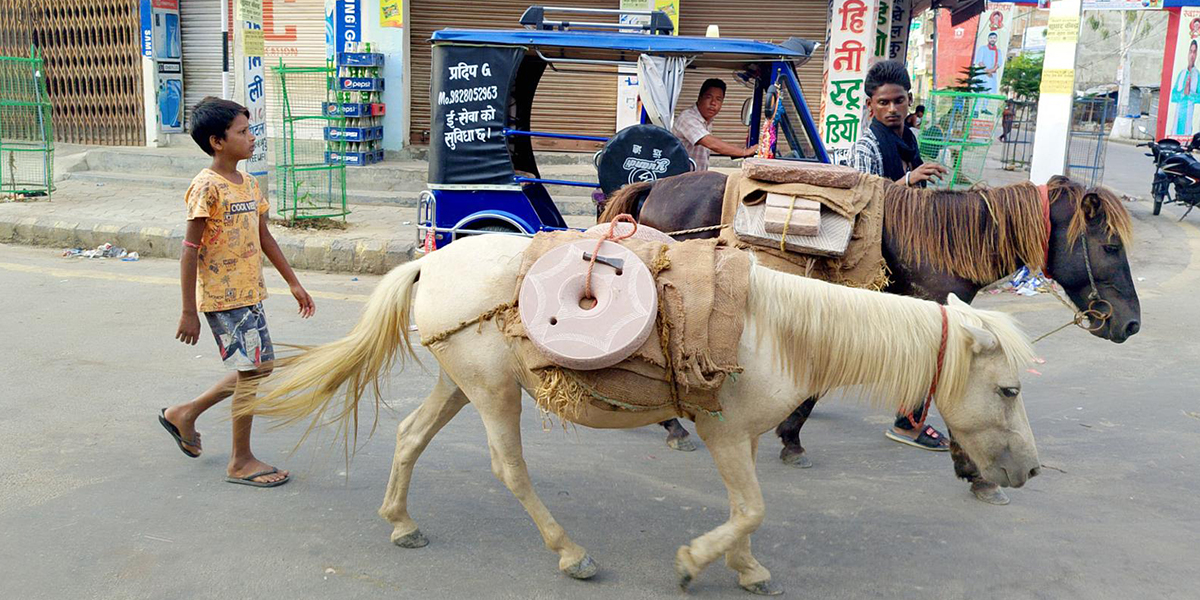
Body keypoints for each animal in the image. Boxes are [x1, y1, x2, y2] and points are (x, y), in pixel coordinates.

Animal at [253, 234, 1041, 595]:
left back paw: (401, 522)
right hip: (492, 392)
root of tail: (432, 261)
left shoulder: (739, 437)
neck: (782, 328)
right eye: (1009, 391)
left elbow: (748, 510)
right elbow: (750, 508)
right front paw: (697, 564)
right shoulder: (724, 430)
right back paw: (570, 553)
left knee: (411, 437)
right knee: (510, 469)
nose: (1029, 472)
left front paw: (745, 569)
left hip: (460, 384)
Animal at [604, 171, 1137, 504]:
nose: (1129, 324)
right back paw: (671, 426)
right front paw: (976, 475)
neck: (938, 240)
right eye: (1110, 245)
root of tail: (656, 185)